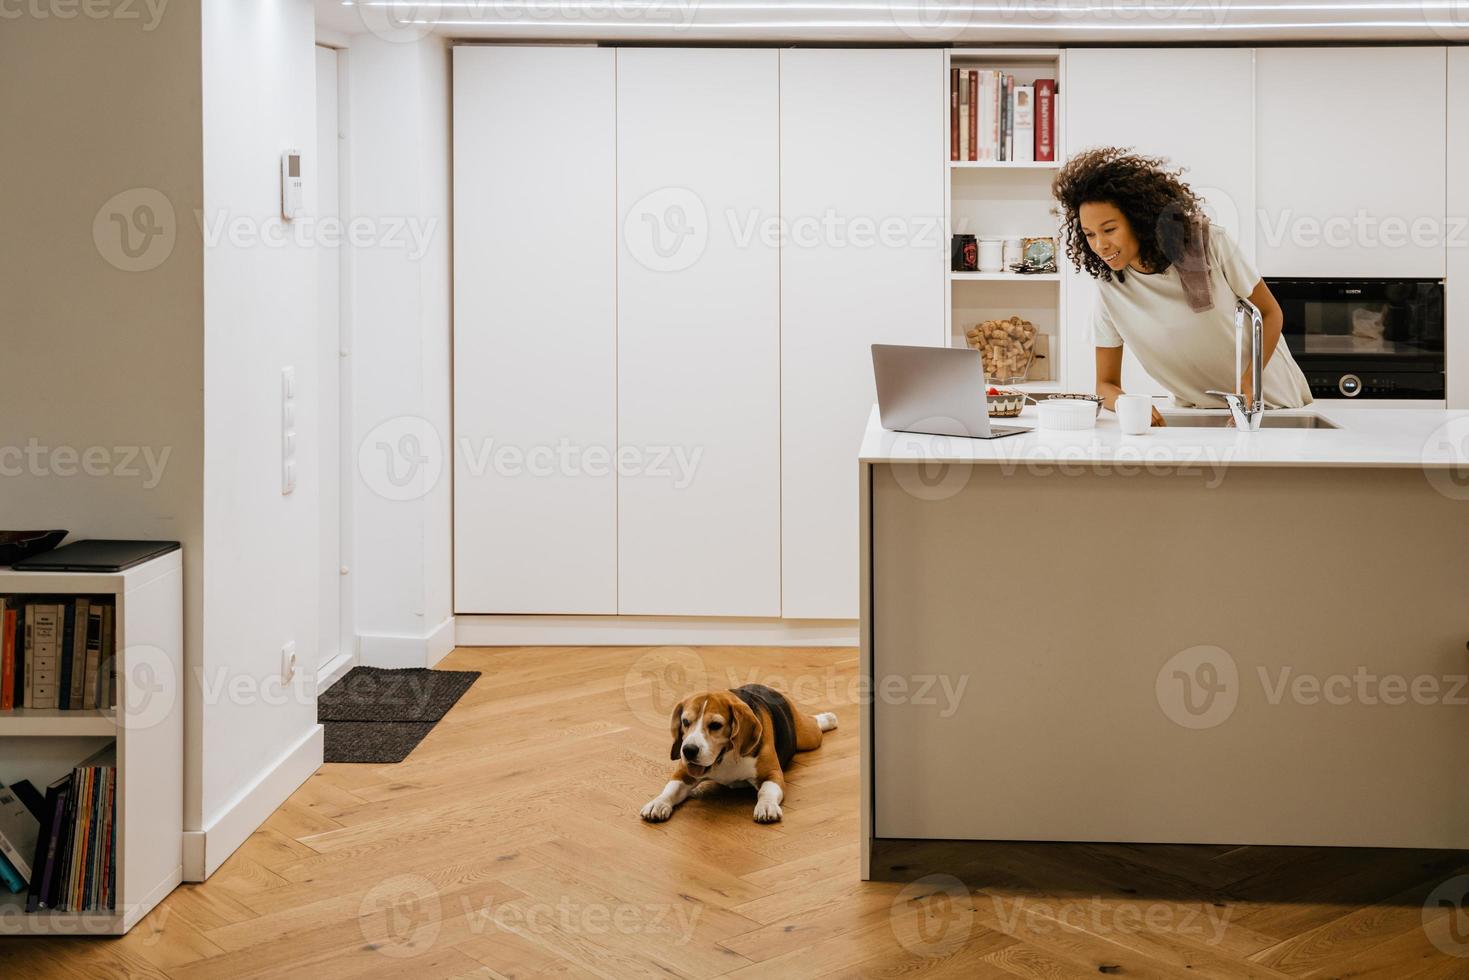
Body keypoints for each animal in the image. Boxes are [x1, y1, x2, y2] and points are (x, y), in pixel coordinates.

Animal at [643, 681, 840, 828]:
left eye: (715, 725)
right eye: (685, 722)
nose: (688, 750)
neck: (726, 757)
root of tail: (764, 686)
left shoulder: (772, 774)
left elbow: (766, 791)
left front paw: (766, 806)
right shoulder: (684, 773)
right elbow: (671, 789)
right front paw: (658, 803)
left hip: (808, 737)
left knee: (813, 723)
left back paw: (828, 718)